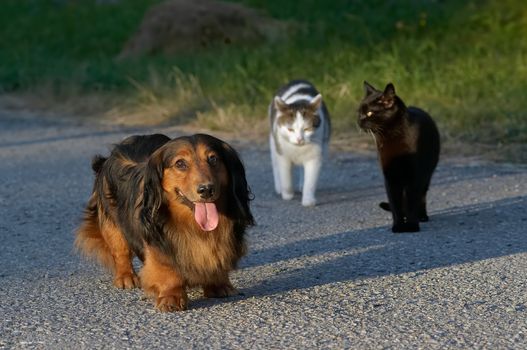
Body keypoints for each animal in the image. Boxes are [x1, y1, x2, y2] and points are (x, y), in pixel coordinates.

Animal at [75, 134, 255, 312]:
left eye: (213, 159)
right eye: (180, 163)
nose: (206, 190)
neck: (193, 225)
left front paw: (218, 284)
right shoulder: (158, 241)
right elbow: (167, 269)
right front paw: (172, 296)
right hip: (112, 224)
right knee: (121, 252)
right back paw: (126, 276)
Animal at [358, 81, 442, 232]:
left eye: (369, 113)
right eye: (359, 112)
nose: (359, 120)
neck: (391, 136)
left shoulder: (414, 176)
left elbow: (412, 202)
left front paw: (412, 225)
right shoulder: (390, 177)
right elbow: (395, 203)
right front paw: (398, 225)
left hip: (426, 175)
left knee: (421, 196)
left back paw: (422, 216)